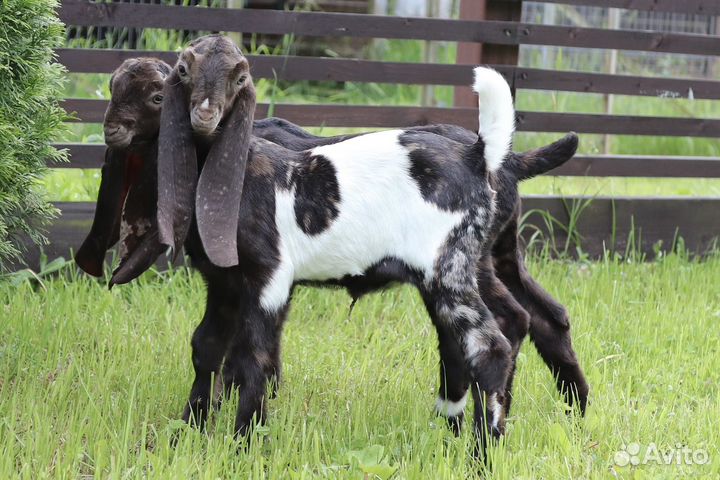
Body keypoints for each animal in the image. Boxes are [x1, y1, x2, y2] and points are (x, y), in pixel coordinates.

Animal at [151, 34, 583, 457]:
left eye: (241, 78)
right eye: (183, 69)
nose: (205, 115)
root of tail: (480, 153)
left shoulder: (270, 277)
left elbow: (253, 358)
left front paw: (244, 446)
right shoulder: (222, 280)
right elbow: (207, 346)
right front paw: (185, 435)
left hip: (450, 268)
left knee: (491, 347)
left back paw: (482, 456)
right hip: (482, 260)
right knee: (533, 320)